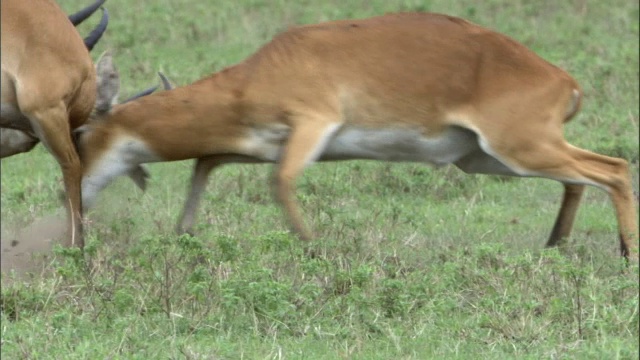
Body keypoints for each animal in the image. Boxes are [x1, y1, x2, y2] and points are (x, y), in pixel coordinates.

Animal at [75, 11, 636, 258]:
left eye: (80, 133)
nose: (75, 197)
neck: (261, 72)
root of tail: (563, 81)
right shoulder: (260, 142)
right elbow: (205, 163)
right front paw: (184, 234)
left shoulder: (313, 125)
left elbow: (279, 183)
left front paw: (314, 248)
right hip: (488, 157)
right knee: (580, 179)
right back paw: (554, 246)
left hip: (518, 148)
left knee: (614, 169)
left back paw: (626, 253)